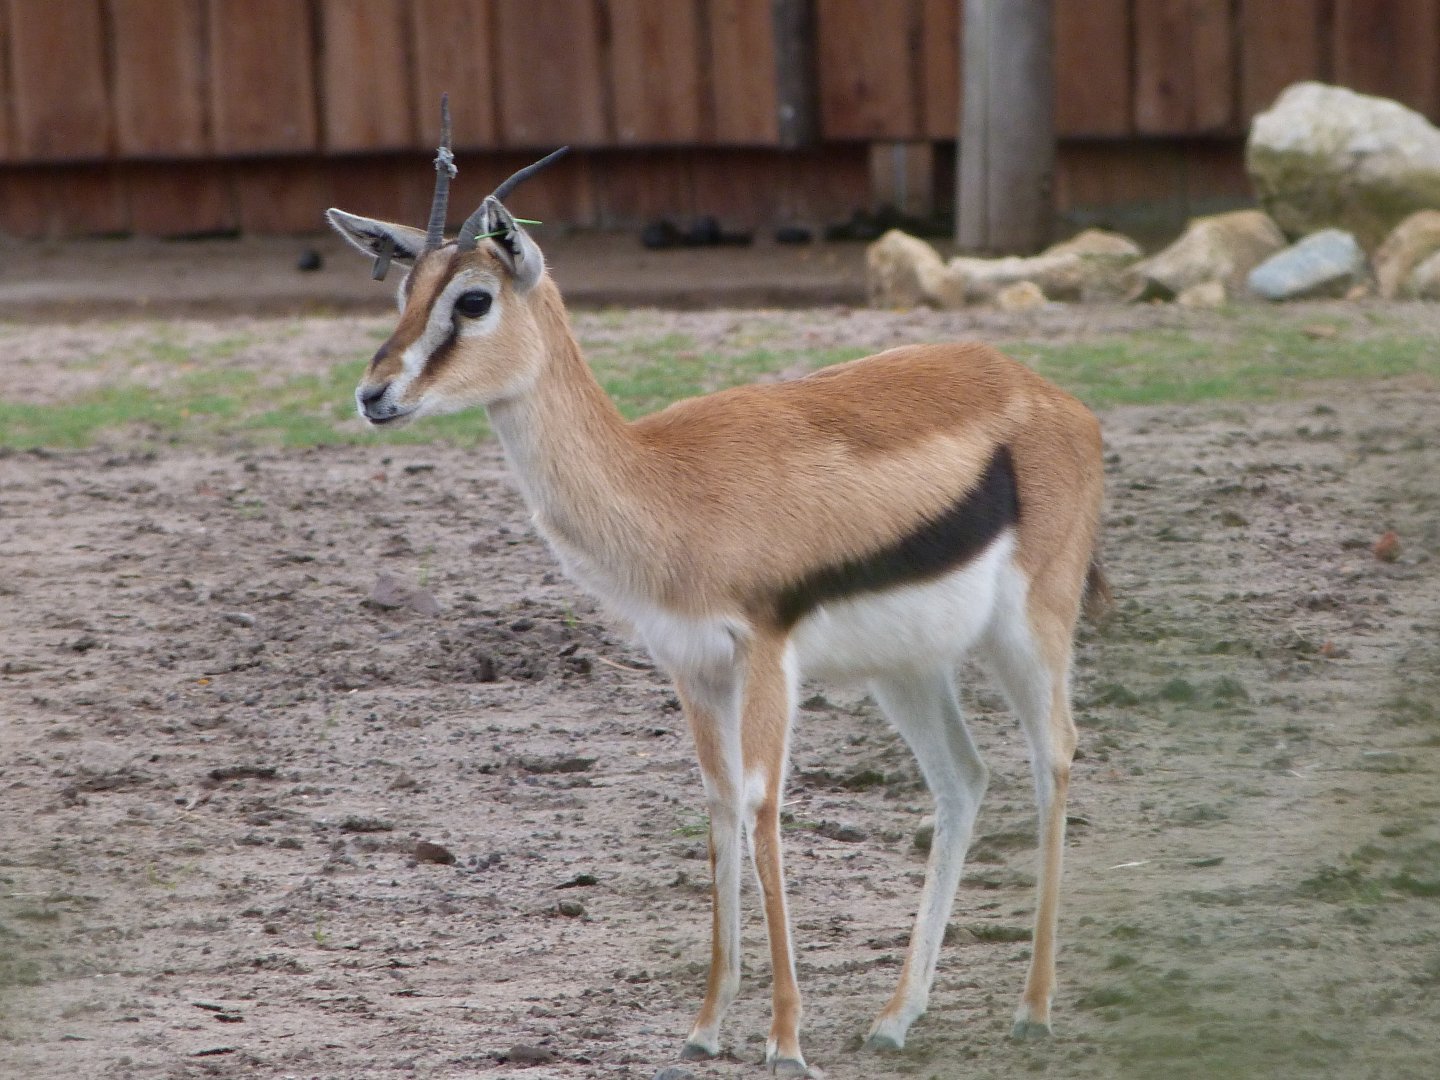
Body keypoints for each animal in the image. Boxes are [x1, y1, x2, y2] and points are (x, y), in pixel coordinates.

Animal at [327, 100, 1107, 1076]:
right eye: (404, 294)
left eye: (473, 299)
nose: (374, 395)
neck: (669, 486)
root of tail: (1054, 399)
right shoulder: (692, 667)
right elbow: (717, 805)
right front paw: (705, 1026)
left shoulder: (765, 655)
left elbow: (763, 807)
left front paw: (784, 1040)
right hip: (908, 668)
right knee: (964, 780)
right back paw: (897, 1015)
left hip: (1029, 630)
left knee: (1056, 756)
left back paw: (1033, 1009)